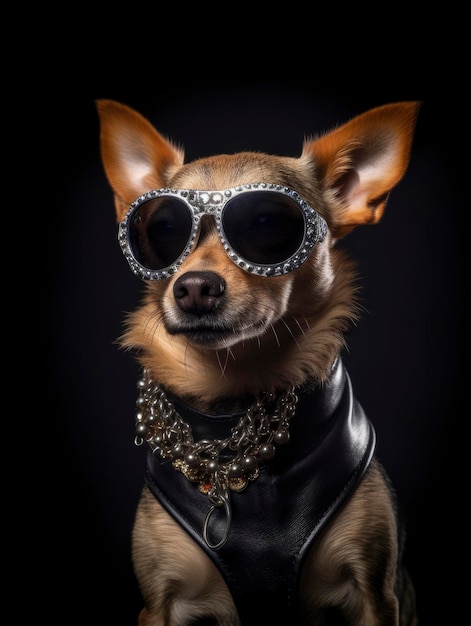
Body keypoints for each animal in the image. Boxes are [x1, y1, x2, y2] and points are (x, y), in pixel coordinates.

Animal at [96, 96, 420, 620]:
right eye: (163, 230)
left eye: (268, 224)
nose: (194, 286)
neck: (232, 395)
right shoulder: (160, 602)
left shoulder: (375, 594)